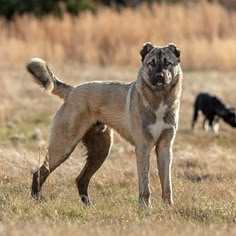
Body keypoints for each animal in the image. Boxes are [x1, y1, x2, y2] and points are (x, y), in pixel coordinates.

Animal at [27, 42, 183, 206]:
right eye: (151, 63)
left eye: (168, 63)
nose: (159, 77)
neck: (159, 98)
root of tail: (72, 90)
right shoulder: (143, 147)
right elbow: (145, 186)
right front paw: (145, 208)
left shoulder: (165, 148)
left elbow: (167, 185)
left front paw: (168, 208)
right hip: (63, 147)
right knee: (39, 173)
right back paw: (36, 199)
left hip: (100, 150)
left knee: (81, 179)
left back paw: (88, 206)